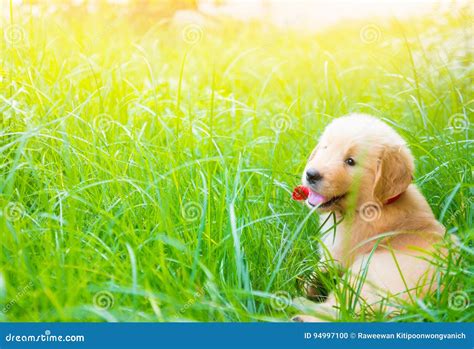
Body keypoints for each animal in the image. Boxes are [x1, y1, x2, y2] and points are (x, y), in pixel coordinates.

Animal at [292, 113, 448, 320]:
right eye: (325, 148)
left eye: (350, 161)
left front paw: (302, 288)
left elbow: (317, 272)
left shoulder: (338, 255)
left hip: (363, 271)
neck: (374, 206)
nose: (311, 174)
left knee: (339, 309)